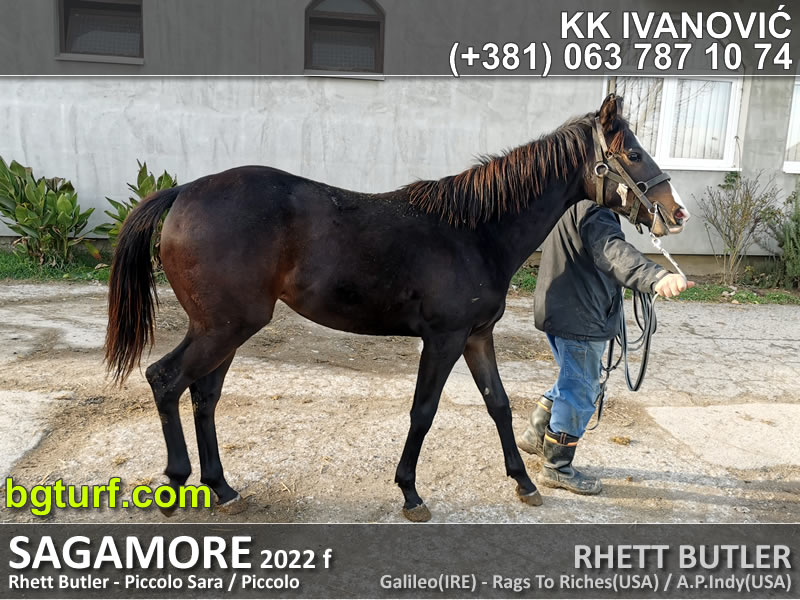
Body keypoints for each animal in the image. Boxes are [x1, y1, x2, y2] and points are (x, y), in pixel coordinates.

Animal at [105, 94, 688, 522]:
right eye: (633, 154)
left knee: (203, 395)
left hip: (225, 328)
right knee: (165, 380)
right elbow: (423, 411)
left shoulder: (476, 336)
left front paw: (523, 481)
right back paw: (176, 481)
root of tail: (183, 191)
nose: (675, 212)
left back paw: (221, 487)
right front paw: (410, 492)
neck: (475, 231)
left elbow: (499, 404)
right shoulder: (444, 339)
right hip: (223, 327)